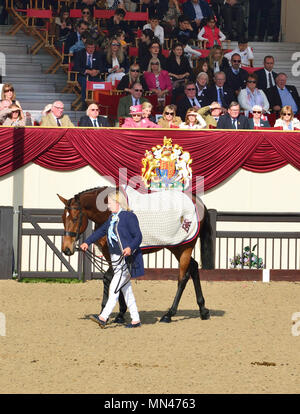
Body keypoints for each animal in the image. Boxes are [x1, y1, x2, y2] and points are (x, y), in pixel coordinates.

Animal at [58, 187, 213, 324]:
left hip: (185, 247)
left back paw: (169, 314)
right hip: (176, 248)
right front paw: (119, 314)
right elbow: (116, 278)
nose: (66, 249)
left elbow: (111, 278)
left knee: (183, 278)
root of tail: (198, 202)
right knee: (193, 267)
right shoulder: (110, 254)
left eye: (75, 218)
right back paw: (203, 310)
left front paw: (107, 312)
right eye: (63, 218)